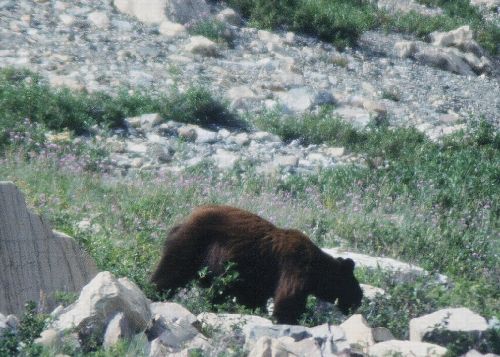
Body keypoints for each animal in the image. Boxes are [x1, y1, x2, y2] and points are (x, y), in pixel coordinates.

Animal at [150, 204, 362, 324]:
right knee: (171, 272)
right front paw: (293, 319)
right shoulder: (296, 269)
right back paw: (155, 293)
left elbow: (253, 299)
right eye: (356, 288)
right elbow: (288, 301)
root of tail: (181, 221)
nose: (358, 303)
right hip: (192, 245)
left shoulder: (258, 281)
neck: (317, 269)